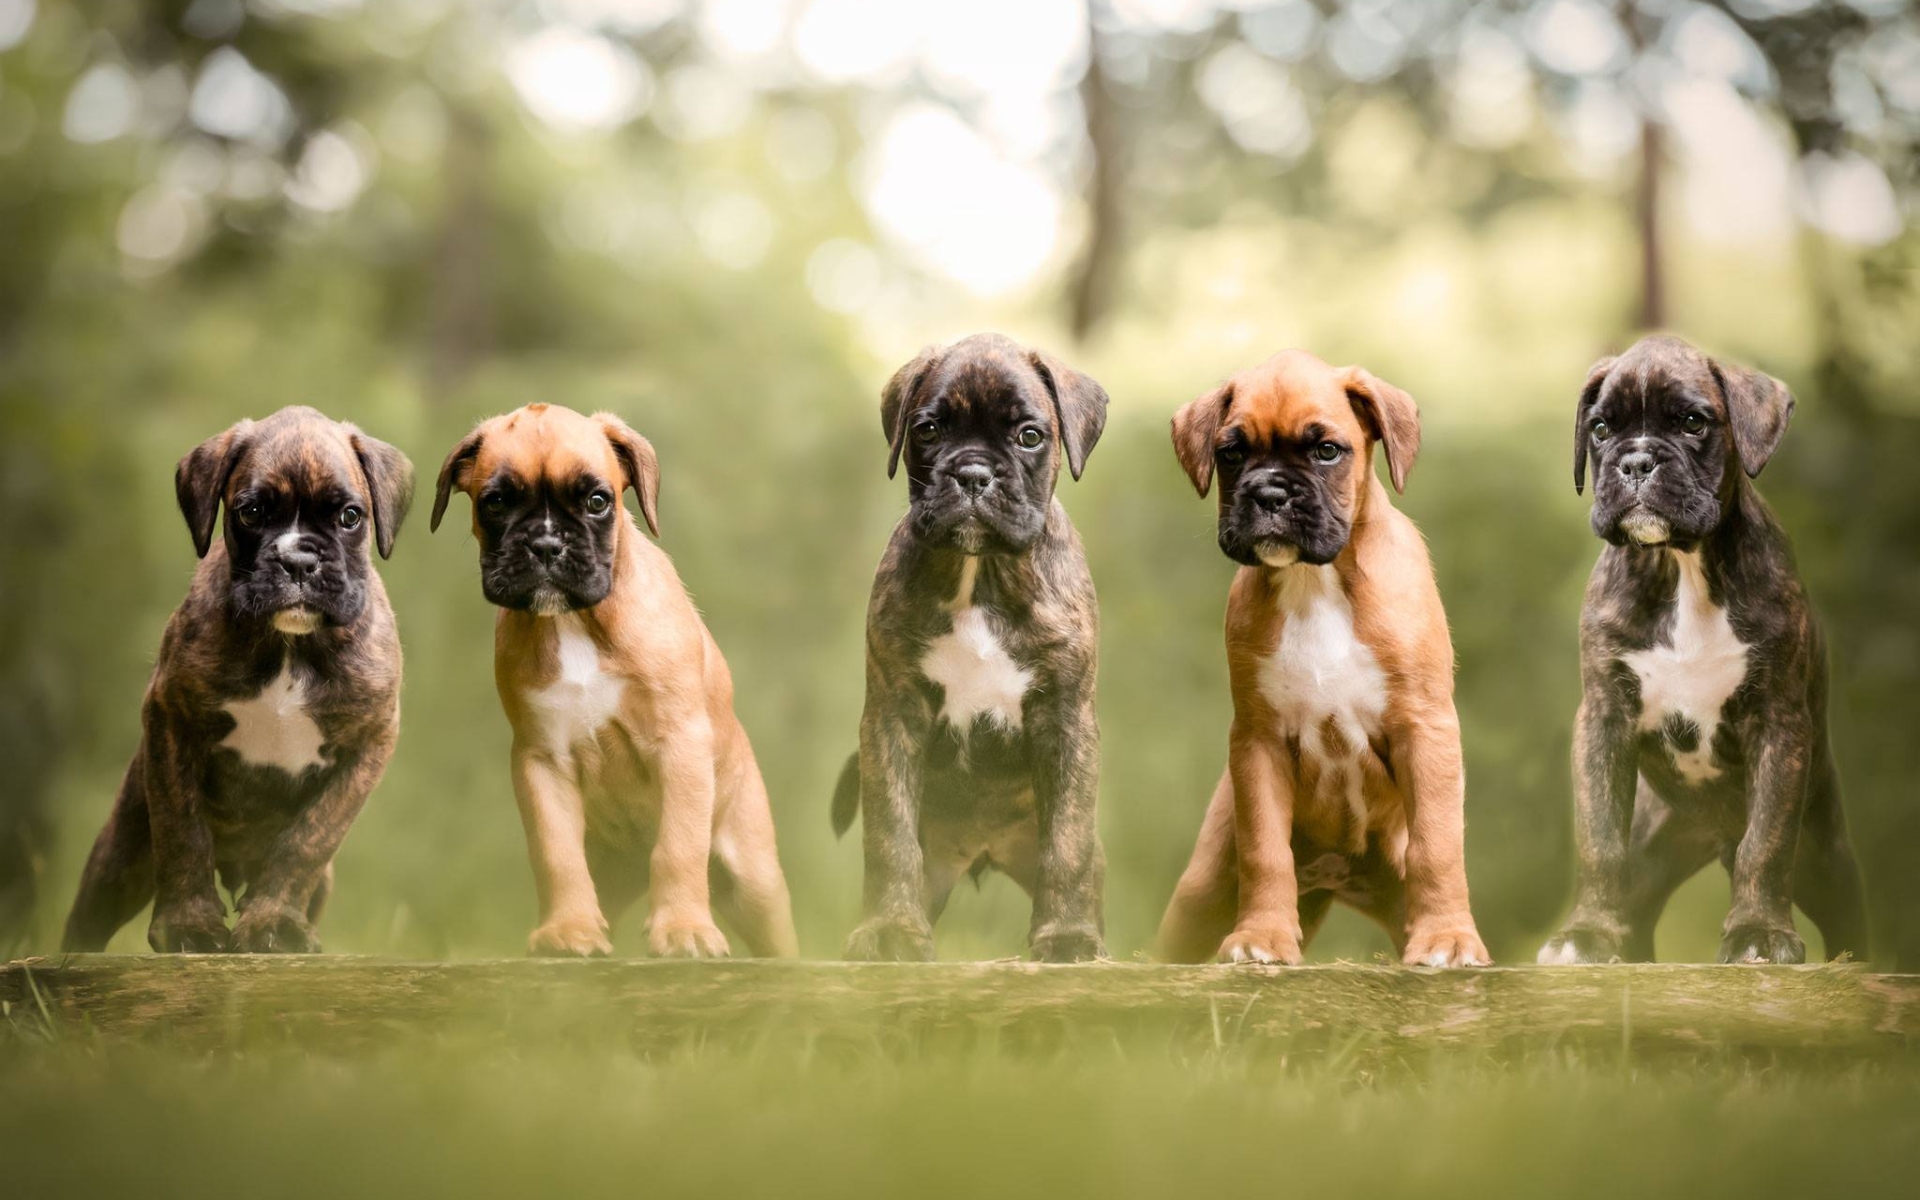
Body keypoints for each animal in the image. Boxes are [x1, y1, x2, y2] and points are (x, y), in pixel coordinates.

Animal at [62, 407, 412, 948]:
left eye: (350, 517)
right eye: (251, 512)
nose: (298, 560)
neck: (289, 645)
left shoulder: (371, 741)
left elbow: (310, 839)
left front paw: (272, 922)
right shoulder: (172, 719)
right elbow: (182, 829)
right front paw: (188, 925)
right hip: (119, 857)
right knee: (89, 919)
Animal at [432, 403, 791, 956]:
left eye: (598, 501)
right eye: (496, 502)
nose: (545, 544)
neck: (576, 621)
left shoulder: (681, 744)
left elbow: (680, 845)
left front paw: (684, 928)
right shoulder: (541, 759)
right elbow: (556, 855)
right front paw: (567, 930)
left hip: (755, 882)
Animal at [837, 330, 1121, 963]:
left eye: (1029, 436)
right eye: (928, 430)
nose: (971, 474)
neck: (980, 572)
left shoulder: (1066, 720)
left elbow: (1066, 843)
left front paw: (1064, 937)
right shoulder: (892, 716)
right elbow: (888, 836)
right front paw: (891, 929)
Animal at [1144, 351, 1489, 967]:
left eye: (1327, 450)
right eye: (1231, 453)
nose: (1269, 494)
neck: (1315, 581)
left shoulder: (1426, 728)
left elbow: (1438, 844)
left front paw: (1448, 937)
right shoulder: (1257, 740)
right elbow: (1264, 850)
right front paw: (1261, 936)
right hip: (1200, 894)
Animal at [1536, 334, 1866, 963]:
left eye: (1693, 422)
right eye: (1600, 429)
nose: (1636, 462)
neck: (1681, 563)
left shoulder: (1779, 725)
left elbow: (1767, 843)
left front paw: (1760, 932)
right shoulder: (1603, 720)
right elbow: (1599, 841)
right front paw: (1587, 933)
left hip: (1827, 856)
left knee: (1844, 920)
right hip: (1652, 844)